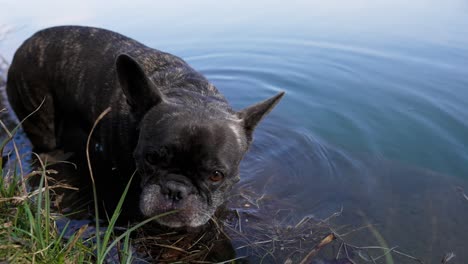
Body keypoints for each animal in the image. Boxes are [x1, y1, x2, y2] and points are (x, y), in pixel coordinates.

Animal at [7, 26, 284, 228]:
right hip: (39, 115)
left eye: (216, 175)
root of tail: (26, 43)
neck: (190, 93)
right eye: (151, 158)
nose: (176, 190)